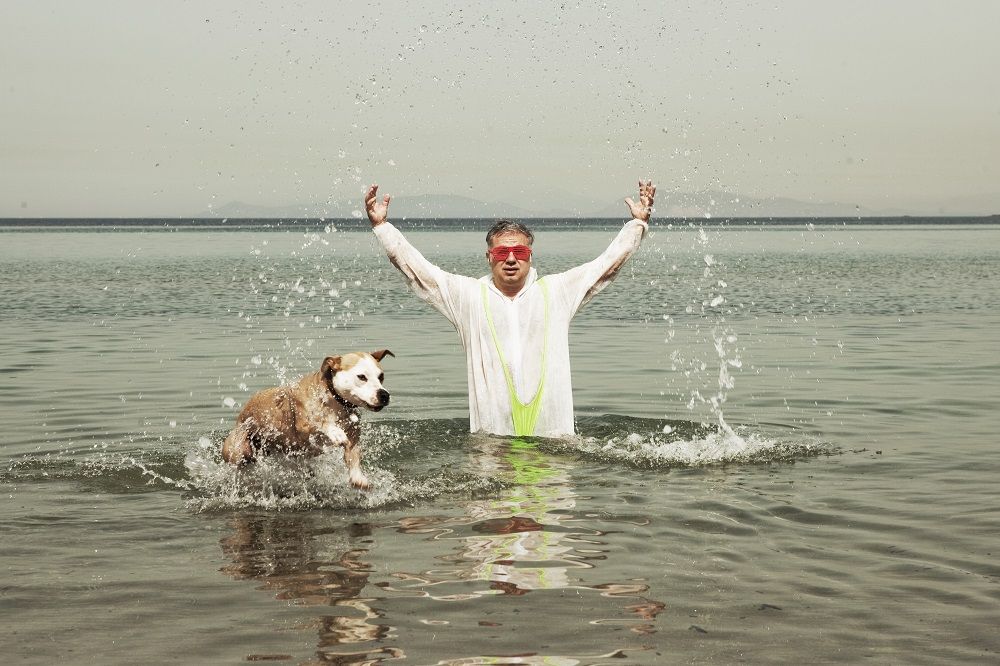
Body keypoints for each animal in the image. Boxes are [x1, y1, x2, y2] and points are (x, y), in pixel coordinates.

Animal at [221, 348, 392, 488]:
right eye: (361, 377)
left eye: (381, 376)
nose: (384, 395)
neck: (333, 398)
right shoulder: (302, 427)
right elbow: (321, 422)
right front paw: (335, 432)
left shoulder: (353, 435)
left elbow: (354, 456)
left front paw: (358, 478)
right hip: (238, 448)